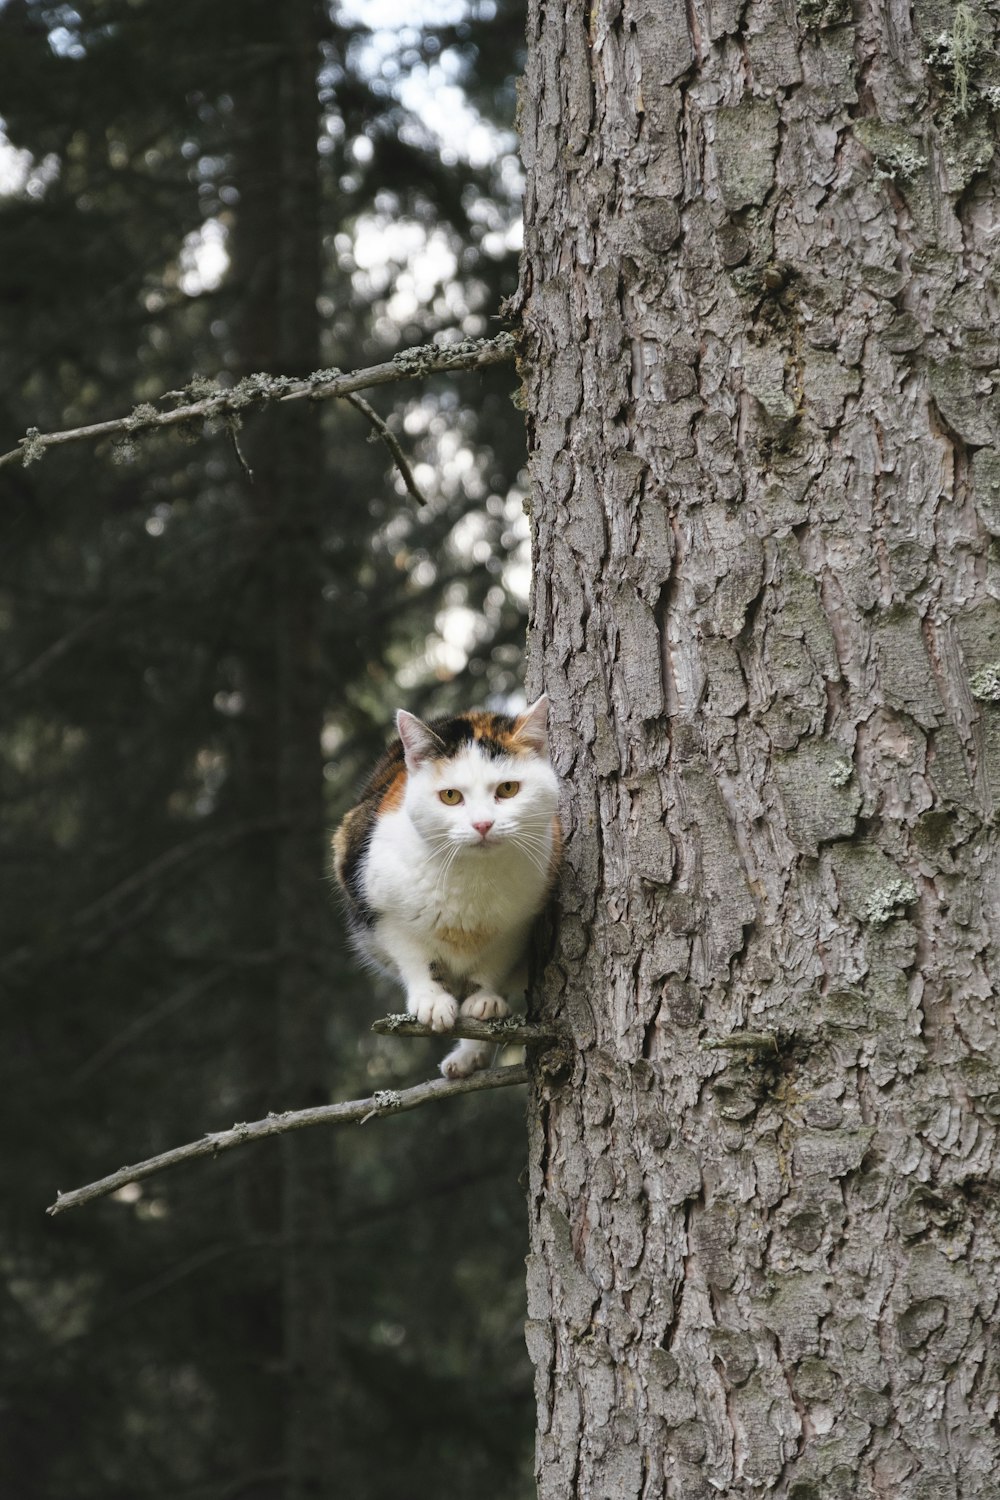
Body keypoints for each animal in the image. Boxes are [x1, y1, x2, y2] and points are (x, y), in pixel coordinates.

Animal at [332, 696, 560, 1074]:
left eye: (508, 789)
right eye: (451, 796)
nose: (483, 824)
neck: (472, 878)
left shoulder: (519, 924)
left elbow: (492, 964)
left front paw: (483, 1000)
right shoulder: (384, 913)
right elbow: (415, 956)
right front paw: (431, 1001)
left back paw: (468, 1055)